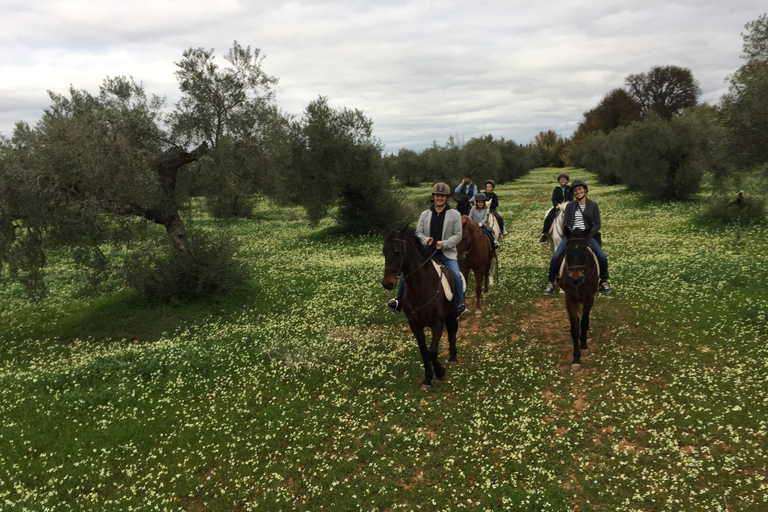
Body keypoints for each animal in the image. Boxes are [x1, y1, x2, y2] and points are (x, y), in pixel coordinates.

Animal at [380, 226, 460, 390]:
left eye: (398, 251)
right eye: (384, 252)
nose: (387, 283)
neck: (421, 288)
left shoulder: (438, 322)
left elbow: (432, 352)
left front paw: (440, 372)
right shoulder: (415, 325)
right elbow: (424, 352)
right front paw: (428, 378)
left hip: (452, 312)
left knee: (453, 329)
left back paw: (453, 357)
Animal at [560, 236, 600, 372]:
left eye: (584, 251)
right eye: (567, 250)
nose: (575, 278)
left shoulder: (589, 299)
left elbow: (584, 322)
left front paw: (584, 346)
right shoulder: (570, 300)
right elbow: (575, 329)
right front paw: (576, 359)